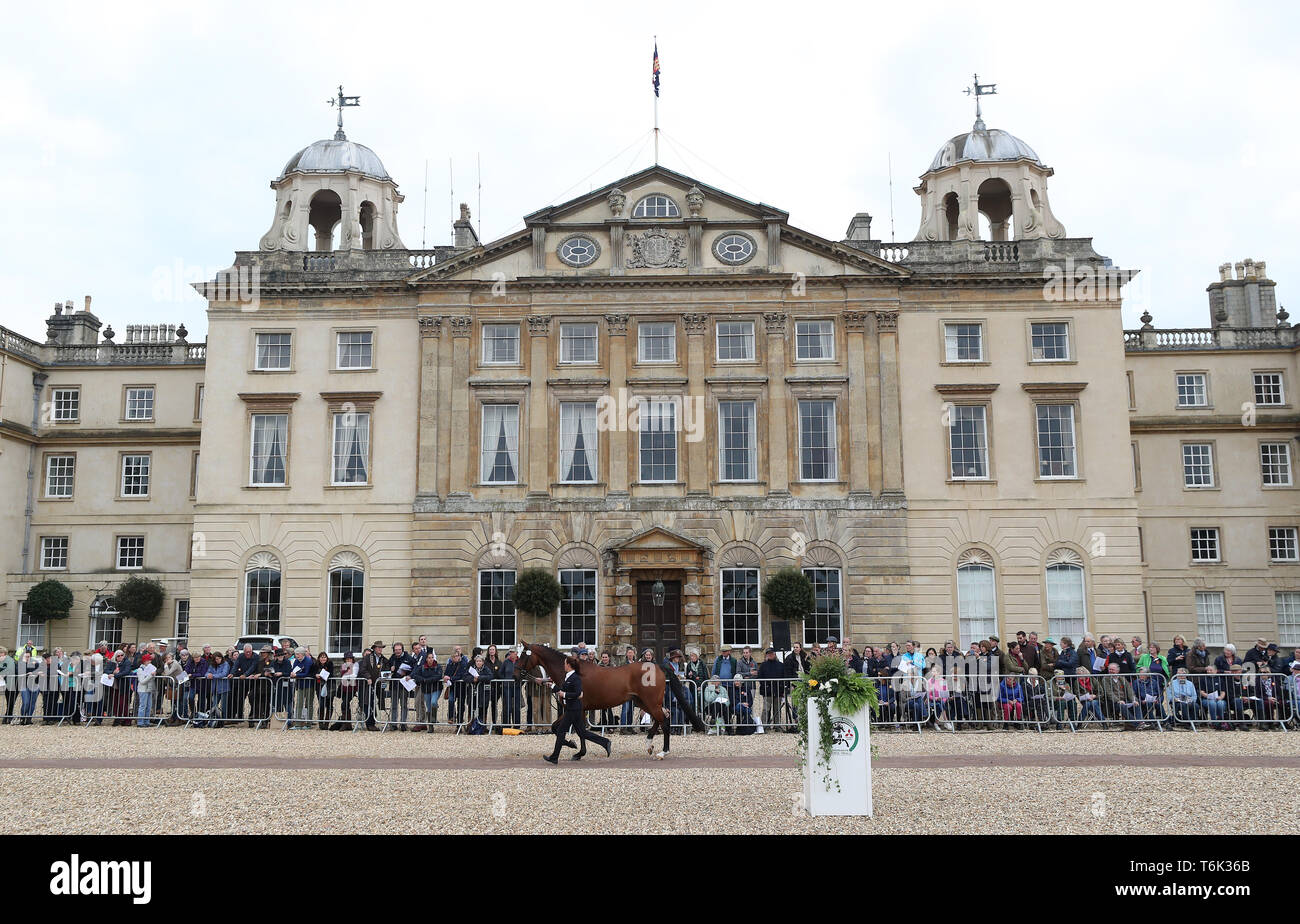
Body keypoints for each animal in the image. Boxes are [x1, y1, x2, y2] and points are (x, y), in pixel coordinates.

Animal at [512, 644, 707, 758]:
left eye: (524, 656)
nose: (515, 675)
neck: (572, 672)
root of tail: (657, 666)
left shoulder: (576, 708)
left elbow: (578, 731)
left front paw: (579, 750)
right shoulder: (575, 709)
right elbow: (562, 729)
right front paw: (574, 746)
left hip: (651, 702)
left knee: (664, 721)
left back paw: (662, 752)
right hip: (643, 702)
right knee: (660, 719)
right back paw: (649, 744)